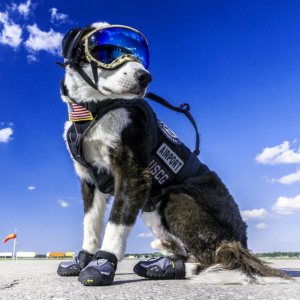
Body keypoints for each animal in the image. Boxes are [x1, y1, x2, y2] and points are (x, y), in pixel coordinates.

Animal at [58, 22, 290, 284]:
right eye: (107, 52)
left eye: (140, 56)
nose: (145, 77)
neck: (93, 111)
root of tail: (242, 243)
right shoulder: (90, 179)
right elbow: (91, 224)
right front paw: (82, 260)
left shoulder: (133, 175)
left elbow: (115, 223)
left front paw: (103, 264)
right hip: (153, 210)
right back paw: (161, 264)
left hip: (176, 198)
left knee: (216, 258)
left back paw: (182, 267)